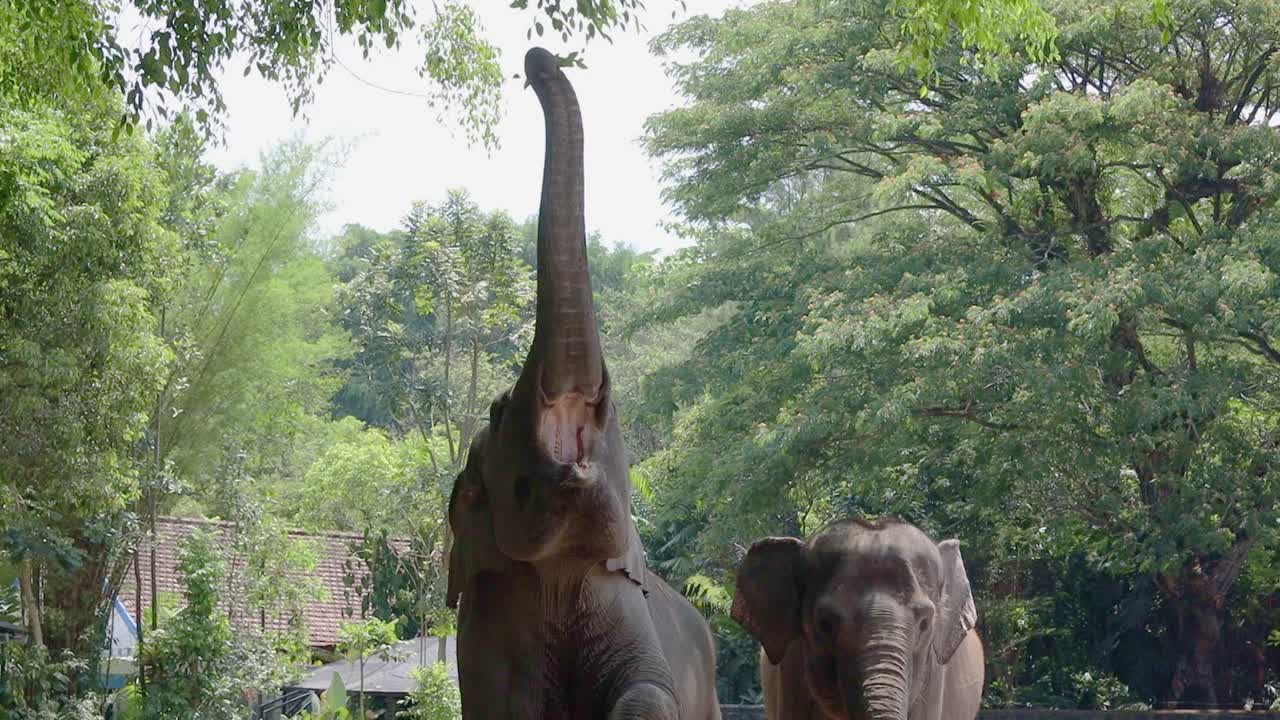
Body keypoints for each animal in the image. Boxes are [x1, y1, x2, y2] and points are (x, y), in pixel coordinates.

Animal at [443, 46, 721, 720]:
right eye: (497, 410)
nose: (537, 59)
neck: (559, 573)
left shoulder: (619, 601)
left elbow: (647, 691)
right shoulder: (485, 627)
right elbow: (509, 708)